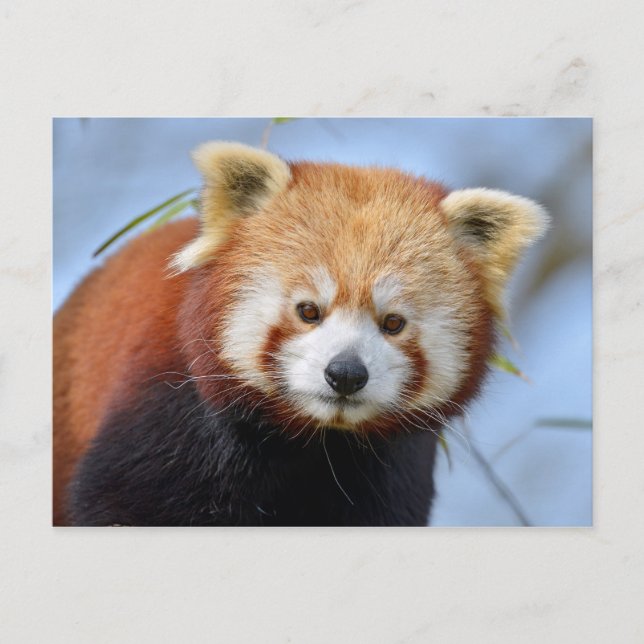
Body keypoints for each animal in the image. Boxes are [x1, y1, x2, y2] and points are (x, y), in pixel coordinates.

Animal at [53, 141, 548, 526]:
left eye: (392, 323)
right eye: (309, 311)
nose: (346, 374)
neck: (313, 442)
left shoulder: (391, 467)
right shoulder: (170, 415)